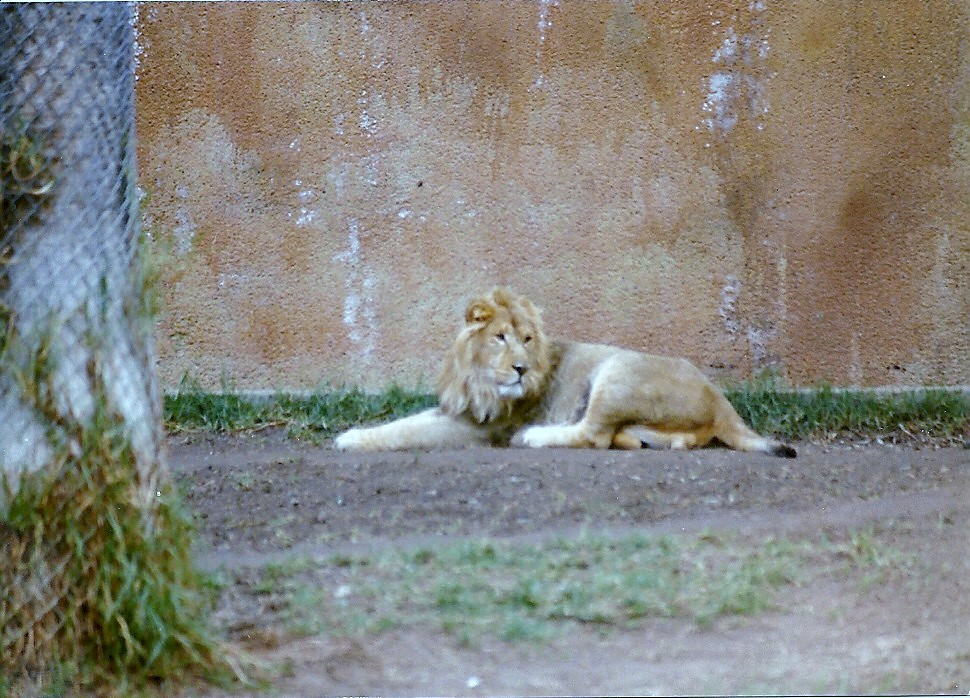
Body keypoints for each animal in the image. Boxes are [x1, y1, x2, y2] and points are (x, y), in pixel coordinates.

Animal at [334, 288, 796, 457]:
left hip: (614, 371)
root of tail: (720, 399)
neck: (478, 378)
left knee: (592, 435)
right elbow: (400, 422)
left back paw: (535, 437)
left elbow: (404, 432)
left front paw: (348, 440)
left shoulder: (480, 428)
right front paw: (355, 432)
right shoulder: (460, 411)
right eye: (500, 337)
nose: (521, 368)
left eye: (527, 339)